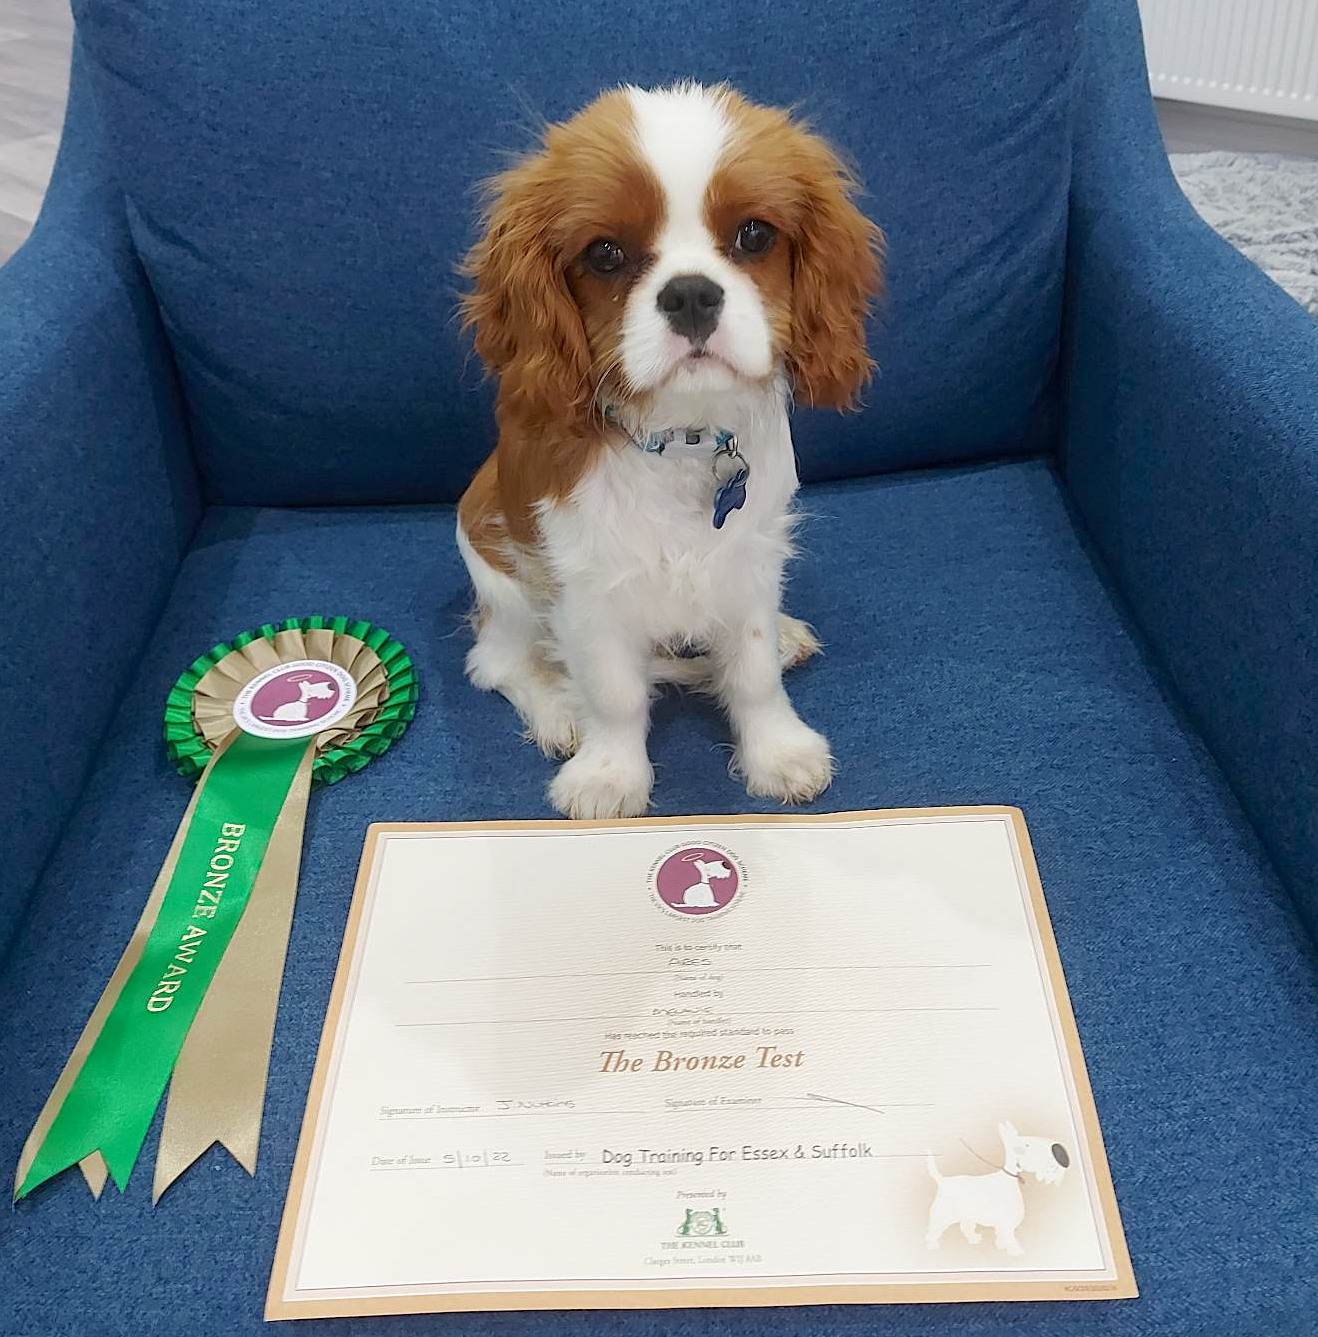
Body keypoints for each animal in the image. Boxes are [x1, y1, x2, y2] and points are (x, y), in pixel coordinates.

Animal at [457, 83, 876, 818]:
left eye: (754, 236)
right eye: (605, 254)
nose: (690, 293)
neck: (684, 439)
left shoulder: (749, 557)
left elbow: (754, 669)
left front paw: (776, 750)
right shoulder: (587, 585)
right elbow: (615, 693)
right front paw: (609, 774)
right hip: (503, 588)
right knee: (498, 663)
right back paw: (558, 708)